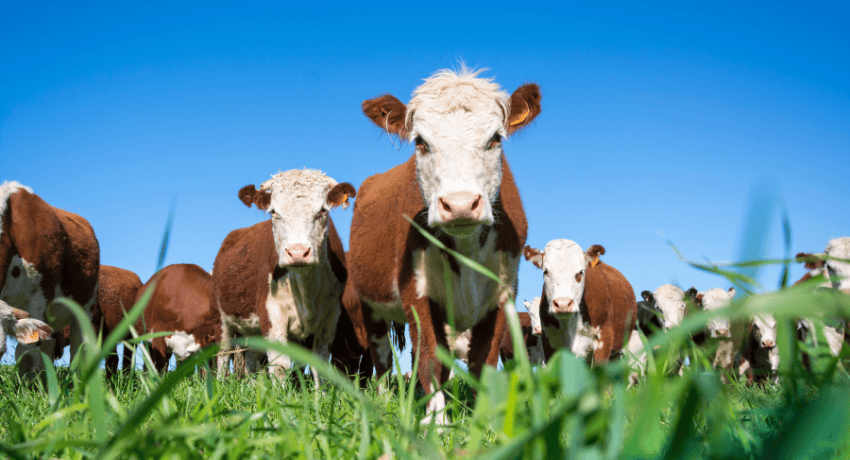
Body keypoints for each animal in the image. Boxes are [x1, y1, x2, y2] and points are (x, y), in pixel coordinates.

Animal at [212, 169, 355, 385]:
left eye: (322, 211)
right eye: (274, 212)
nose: (297, 252)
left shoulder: (331, 315)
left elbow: (319, 364)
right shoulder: (271, 312)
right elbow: (280, 365)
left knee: (251, 358)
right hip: (222, 319)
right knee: (223, 353)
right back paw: (219, 386)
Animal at [344, 67, 539, 425]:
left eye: (495, 138)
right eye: (420, 142)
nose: (460, 204)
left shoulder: (502, 293)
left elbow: (482, 361)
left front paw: (481, 423)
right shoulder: (416, 291)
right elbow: (430, 359)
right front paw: (437, 423)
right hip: (370, 305)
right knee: (381, 358)